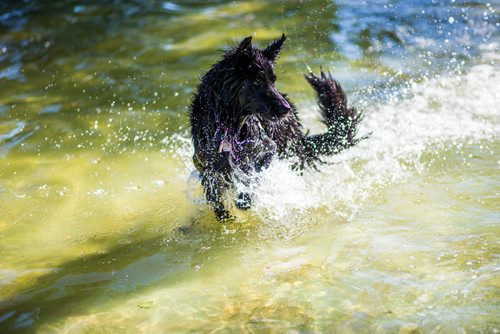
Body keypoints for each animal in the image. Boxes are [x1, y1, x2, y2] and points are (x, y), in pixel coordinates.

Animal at [188, 34, 364, 222]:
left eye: (273, 81)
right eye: (258, 80)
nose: (286, 109)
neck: (230, 127)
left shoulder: (268, 150)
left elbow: (253, 177)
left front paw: (244, 199)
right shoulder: (206, 166)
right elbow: (215, 194)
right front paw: (224, 215)